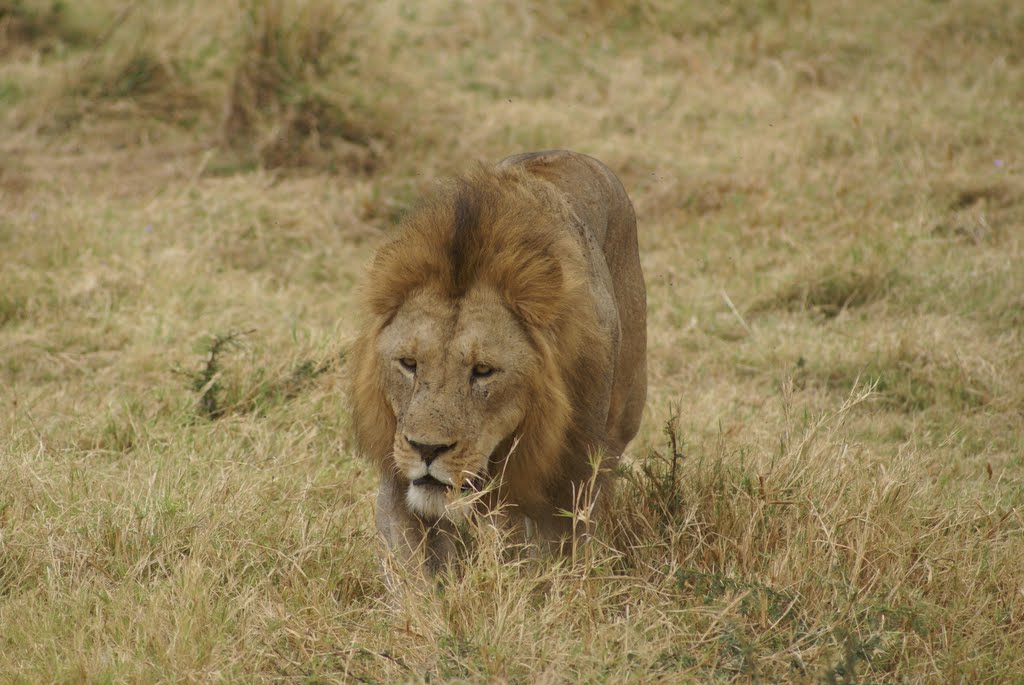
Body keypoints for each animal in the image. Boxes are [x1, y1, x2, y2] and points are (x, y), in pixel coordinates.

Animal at [348, 149, 643, 573]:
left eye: (483, 371)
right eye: (408, 363)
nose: (426, 450)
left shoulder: (566, 480)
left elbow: (550, 557)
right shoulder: (399, 476)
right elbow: (414, 569)